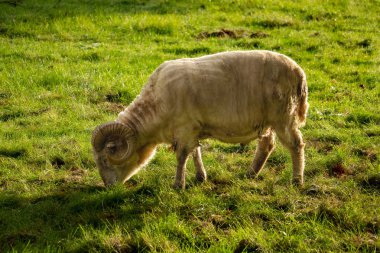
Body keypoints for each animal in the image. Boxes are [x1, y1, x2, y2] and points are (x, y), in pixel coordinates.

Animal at [92, 50, 308, 189]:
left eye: (104, 159)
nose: (108, 187)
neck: (155, 107)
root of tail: (299, 72)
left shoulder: (185, 128)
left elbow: (181, 157)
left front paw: (178, 184)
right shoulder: (192, 128)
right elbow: (196, 152)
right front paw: (200, 177)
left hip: (284, 117)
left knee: (296, 145)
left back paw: (297, 180)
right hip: (267, 121)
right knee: (266, 145)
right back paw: (251, 173)